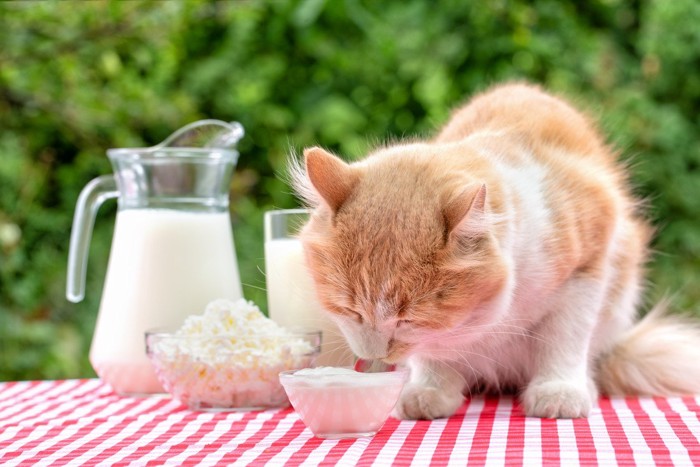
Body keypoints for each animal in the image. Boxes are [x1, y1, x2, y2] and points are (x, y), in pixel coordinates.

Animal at [286, 83, 700, 420]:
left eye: (408, 320)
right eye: (350, 310)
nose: (375, 355)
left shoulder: (587, 270)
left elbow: (565, 339)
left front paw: (560, 390)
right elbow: (432, 353)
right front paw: (430, 389)